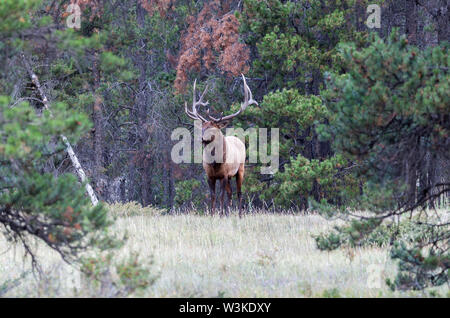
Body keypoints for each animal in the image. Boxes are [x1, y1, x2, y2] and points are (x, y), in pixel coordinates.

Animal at [185, 74, 258, 216]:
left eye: (213, 128)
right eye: (203, 127)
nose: (201, 138)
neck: (215, 163)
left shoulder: (224, 175)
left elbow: (221, 195)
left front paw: (220, 214)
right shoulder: (210, 176)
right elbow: (213, 196)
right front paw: (214, 214)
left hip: (240, 169)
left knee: (239, 193)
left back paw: (239, 215)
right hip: (230, 176)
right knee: (230, 193)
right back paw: (229, 213)